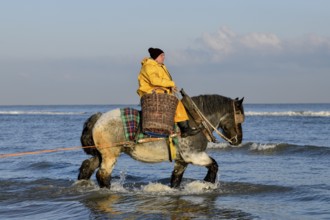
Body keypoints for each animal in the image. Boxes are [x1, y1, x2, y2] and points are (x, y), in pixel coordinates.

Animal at [76, 93, 242, 188]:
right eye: (239, 117)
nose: (239, 140)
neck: (195, 120)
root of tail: (99, 117)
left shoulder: (182, 160)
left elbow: (176, 179)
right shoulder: (194, 155)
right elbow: (214, 165)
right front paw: (208, 182)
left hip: (101, 154)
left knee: (87, 166)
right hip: (110, 154)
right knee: (103, 174)